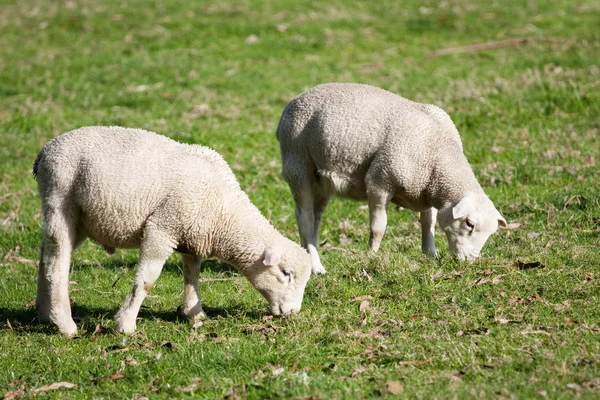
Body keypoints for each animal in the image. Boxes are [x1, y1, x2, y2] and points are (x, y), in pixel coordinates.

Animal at [33, 126, 312, 336]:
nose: (292, 312)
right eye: (286, 273)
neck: (225, 214)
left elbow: (192, 275)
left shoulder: (193, 233)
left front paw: (195, 314)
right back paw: (65, 324)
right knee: (56, 264)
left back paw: (44, 314)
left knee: (46, 256)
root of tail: (45, 152)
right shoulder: (162, 228)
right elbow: (146, 281)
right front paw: (125, 325)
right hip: (60, 200)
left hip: (79, 219)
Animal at [276, 82, 506, 274]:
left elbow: (428, 222)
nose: (470, 261)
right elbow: (378, 228)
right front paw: (371, 257)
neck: (437, 153)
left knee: (315, 218)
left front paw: (430, 253)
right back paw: (317, 267)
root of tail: (295, 100)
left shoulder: (428, 190)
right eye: (469, 224)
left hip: (322, 180)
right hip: (297, 163)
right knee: (304, 219)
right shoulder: (380, 181)